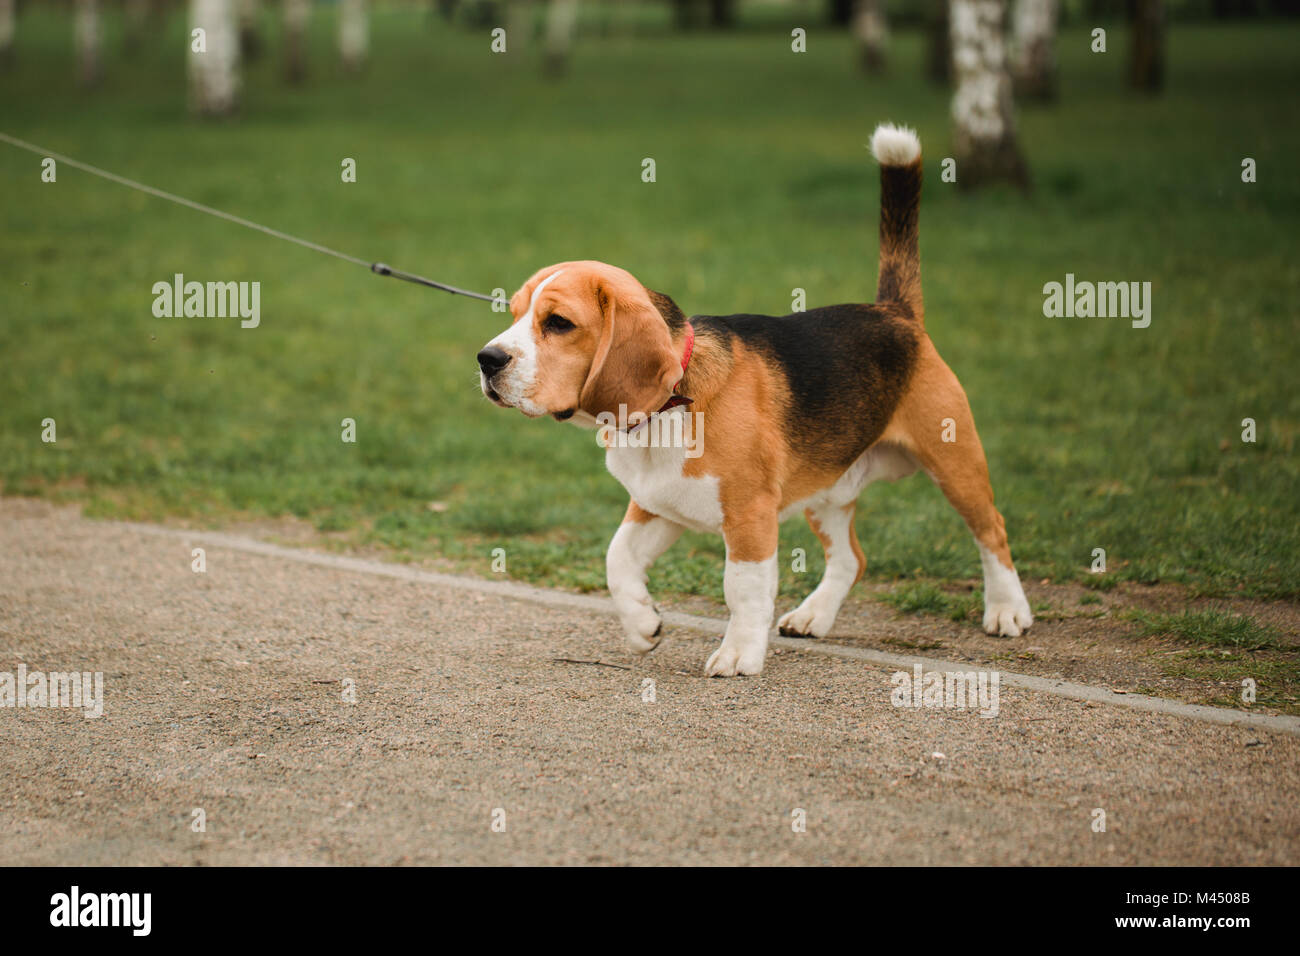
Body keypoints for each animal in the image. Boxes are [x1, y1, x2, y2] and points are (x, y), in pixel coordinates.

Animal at [478, 123, 1034, 676]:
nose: (487, 359)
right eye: (515, 313)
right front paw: (643, 626)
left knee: (993, 531)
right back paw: (813, 615)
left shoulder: (749, 514)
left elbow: (742, 589)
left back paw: (1007, 611)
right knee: (851, 558)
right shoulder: (656, 504)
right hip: (827, 487)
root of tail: (893, 312)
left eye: (558, 323)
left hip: (954, 459)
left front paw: (738, 653)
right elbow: (618, 559)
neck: (671, 405)